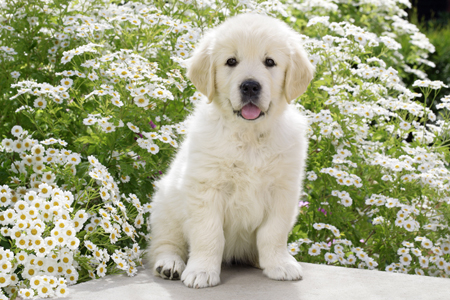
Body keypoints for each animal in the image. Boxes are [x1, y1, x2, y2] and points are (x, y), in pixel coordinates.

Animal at [148, 12, 312, 288]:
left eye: (270, 62)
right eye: (231, 62)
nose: (250, 86)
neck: (249, 136)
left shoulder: (283, 191)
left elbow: (273, 233)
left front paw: (279, 263)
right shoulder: (206, 188)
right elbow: (209, 234)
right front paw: (202, 271)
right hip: (166, 204)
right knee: (165, 242)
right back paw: (169, 264)